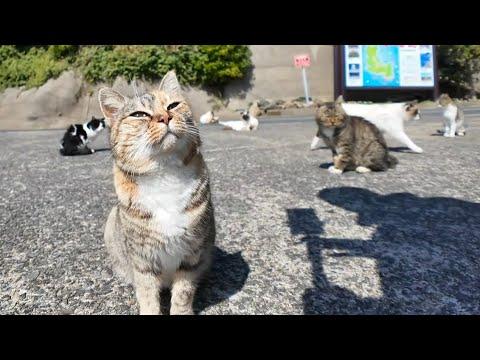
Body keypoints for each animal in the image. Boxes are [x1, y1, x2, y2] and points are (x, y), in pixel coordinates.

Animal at [99, 70, 216, 316]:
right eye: (139, 114)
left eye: (173, 105)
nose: (165, 117)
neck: (165, 173)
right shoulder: (143, 260)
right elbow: (147, 294)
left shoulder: (192, 255)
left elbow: (183, 294)